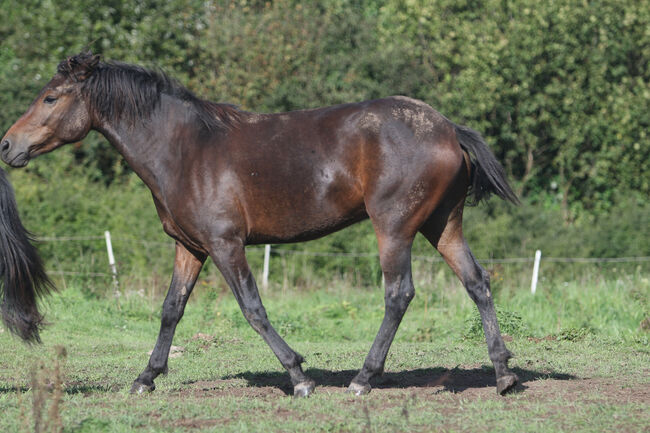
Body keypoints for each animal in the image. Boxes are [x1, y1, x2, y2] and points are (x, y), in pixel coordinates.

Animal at [0, 52, 516, 396]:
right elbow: (171, 310)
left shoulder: (226, 245)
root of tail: (448, 128)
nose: (7, 145)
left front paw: (299, 376)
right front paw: (146, 378)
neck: (186, 150)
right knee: (477, 282)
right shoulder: (191, 248)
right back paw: (504, 373)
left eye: (50, 97)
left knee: (398, 294)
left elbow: (253, 309)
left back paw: (364, 379)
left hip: (394, 228)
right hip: (441, 225)